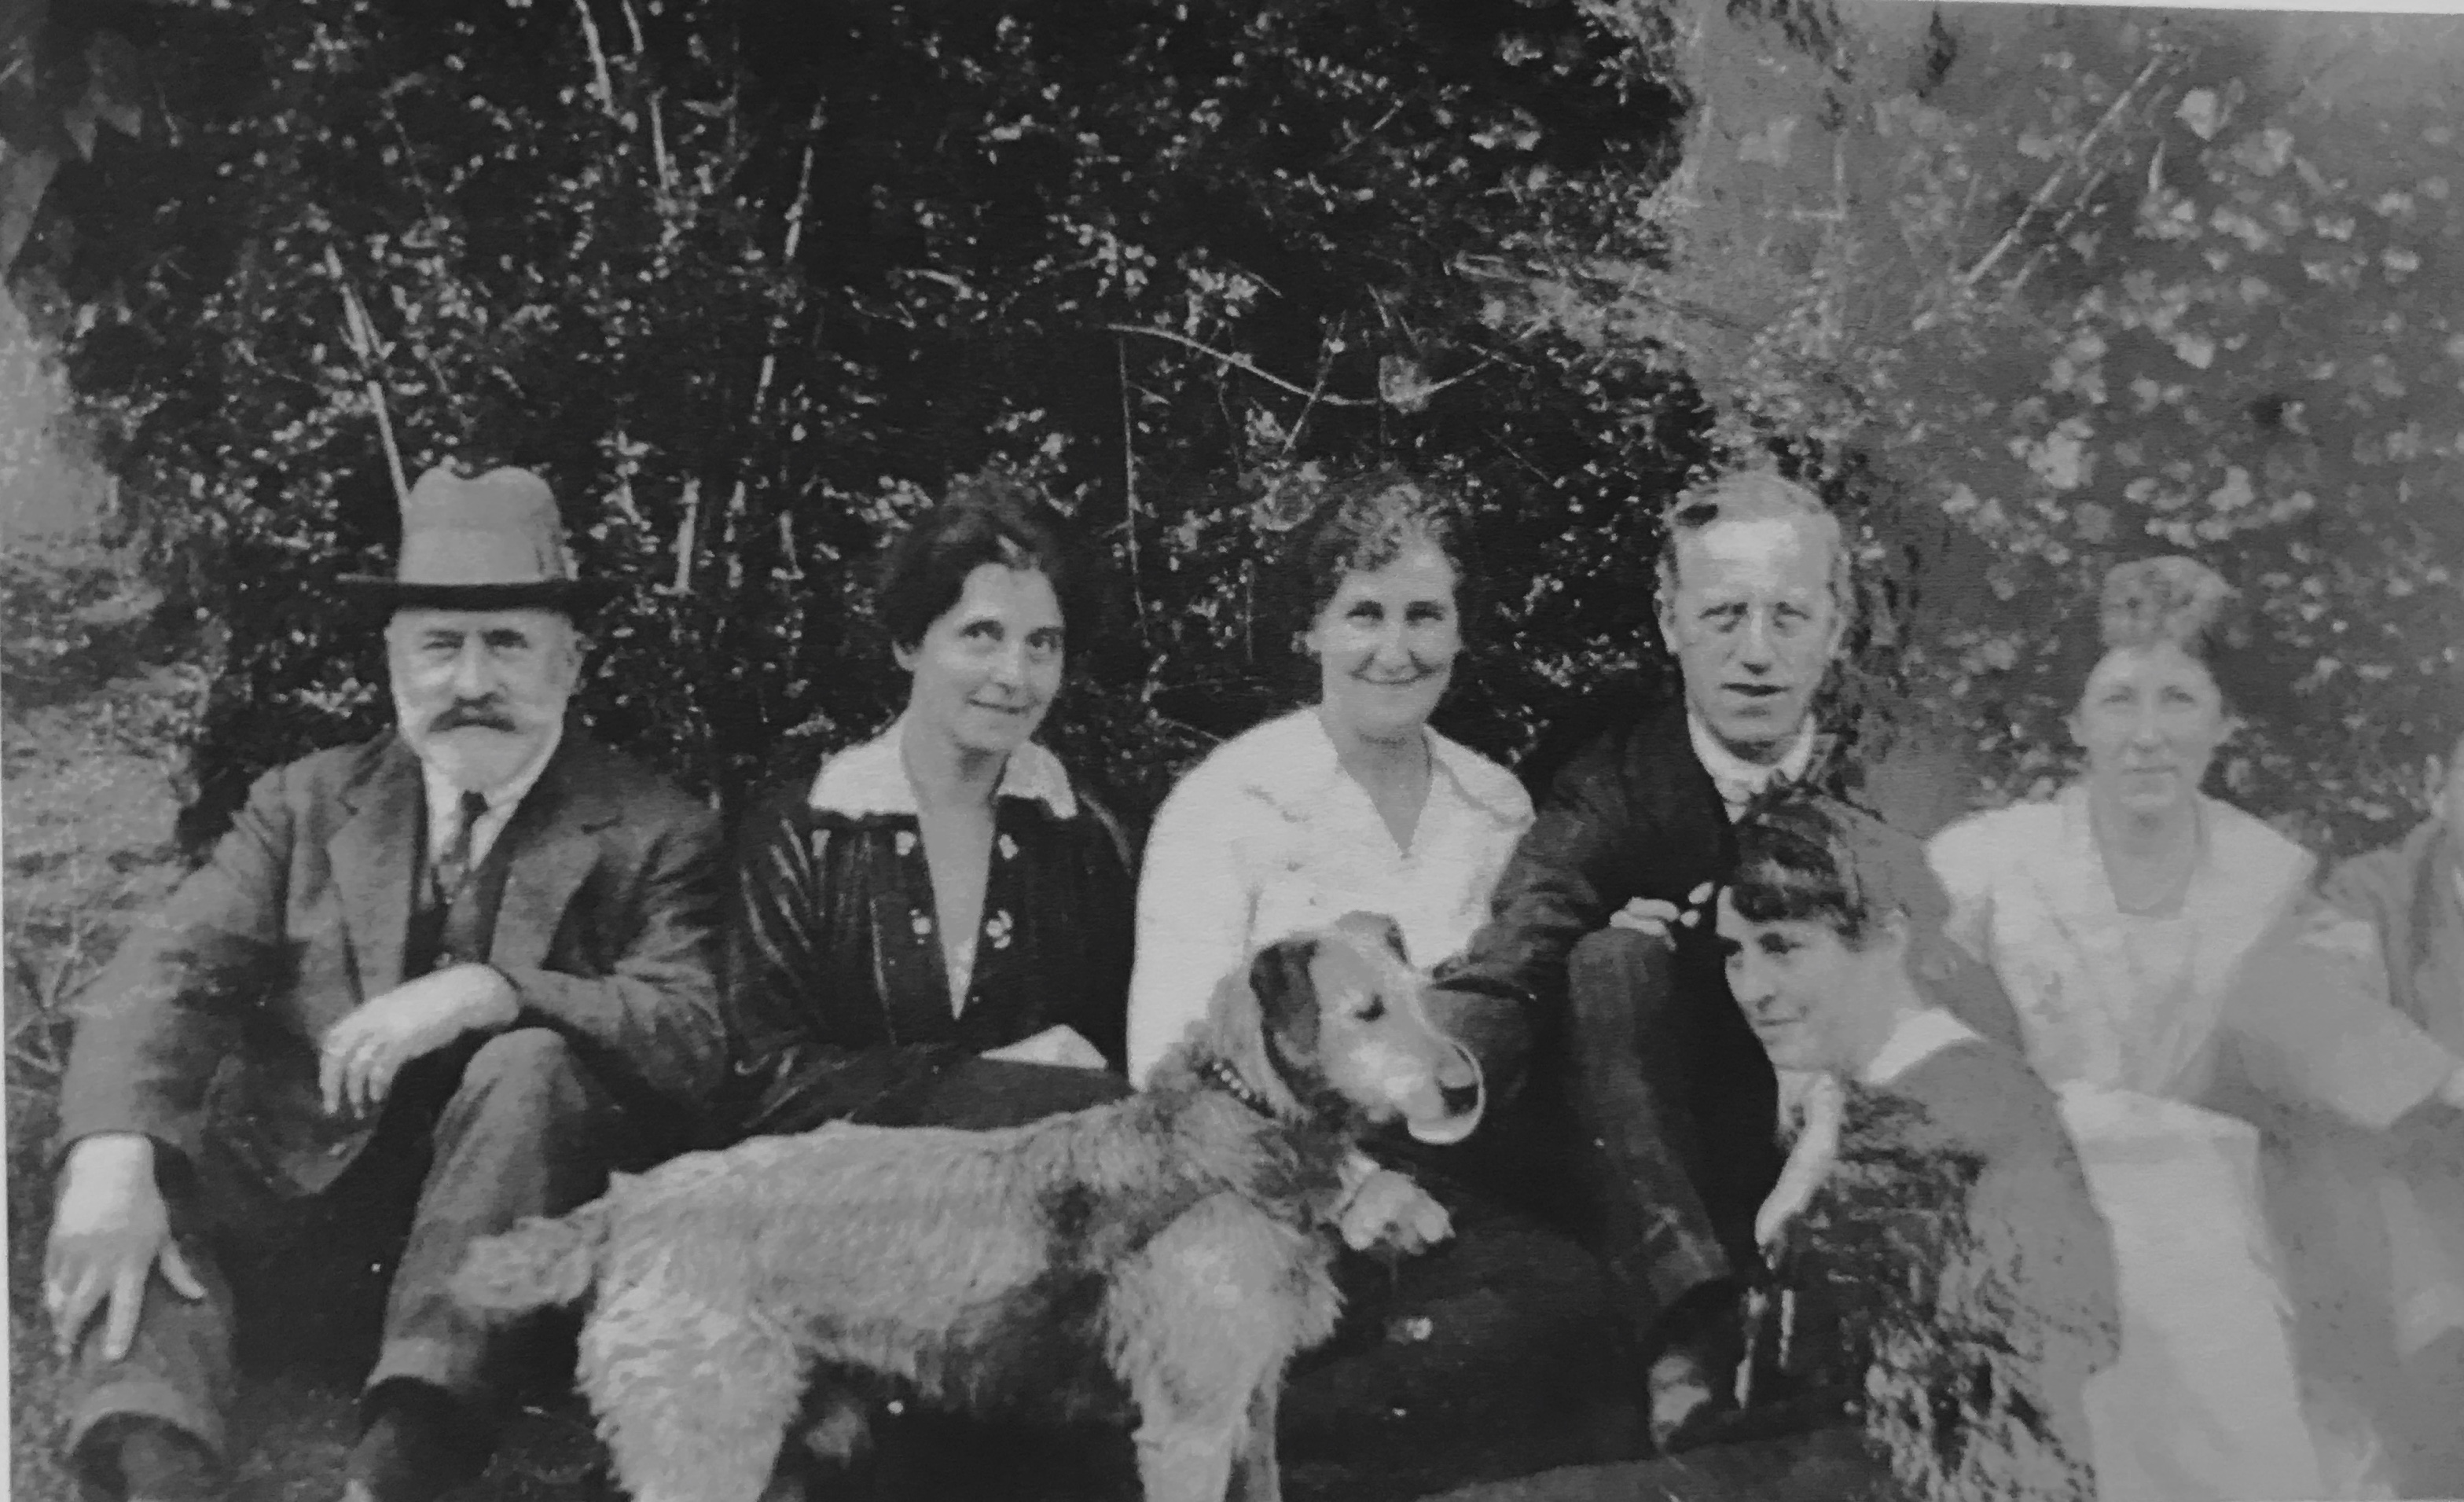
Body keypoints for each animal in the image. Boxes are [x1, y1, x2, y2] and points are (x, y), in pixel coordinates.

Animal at [453, 911, 1486, 1502]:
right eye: (1365, 1013)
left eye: (1424, 994)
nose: (1467, 1090)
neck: (1228, 1136)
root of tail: (630, 1206)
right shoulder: (1186, 1428)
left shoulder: (1252, 1403)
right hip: (704, 1449)